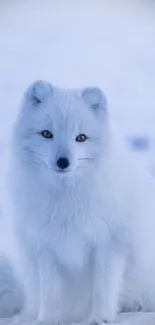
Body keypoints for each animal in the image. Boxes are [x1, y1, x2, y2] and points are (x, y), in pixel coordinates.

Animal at [8, 80, 155, 322]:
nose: (63, 162)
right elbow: (50, 291)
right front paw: (47, 320)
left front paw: (100, 319)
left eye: (81, 137)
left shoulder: (110, 244)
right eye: (46, 133)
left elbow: (103, 287)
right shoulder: (46, 246)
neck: (66, 200)